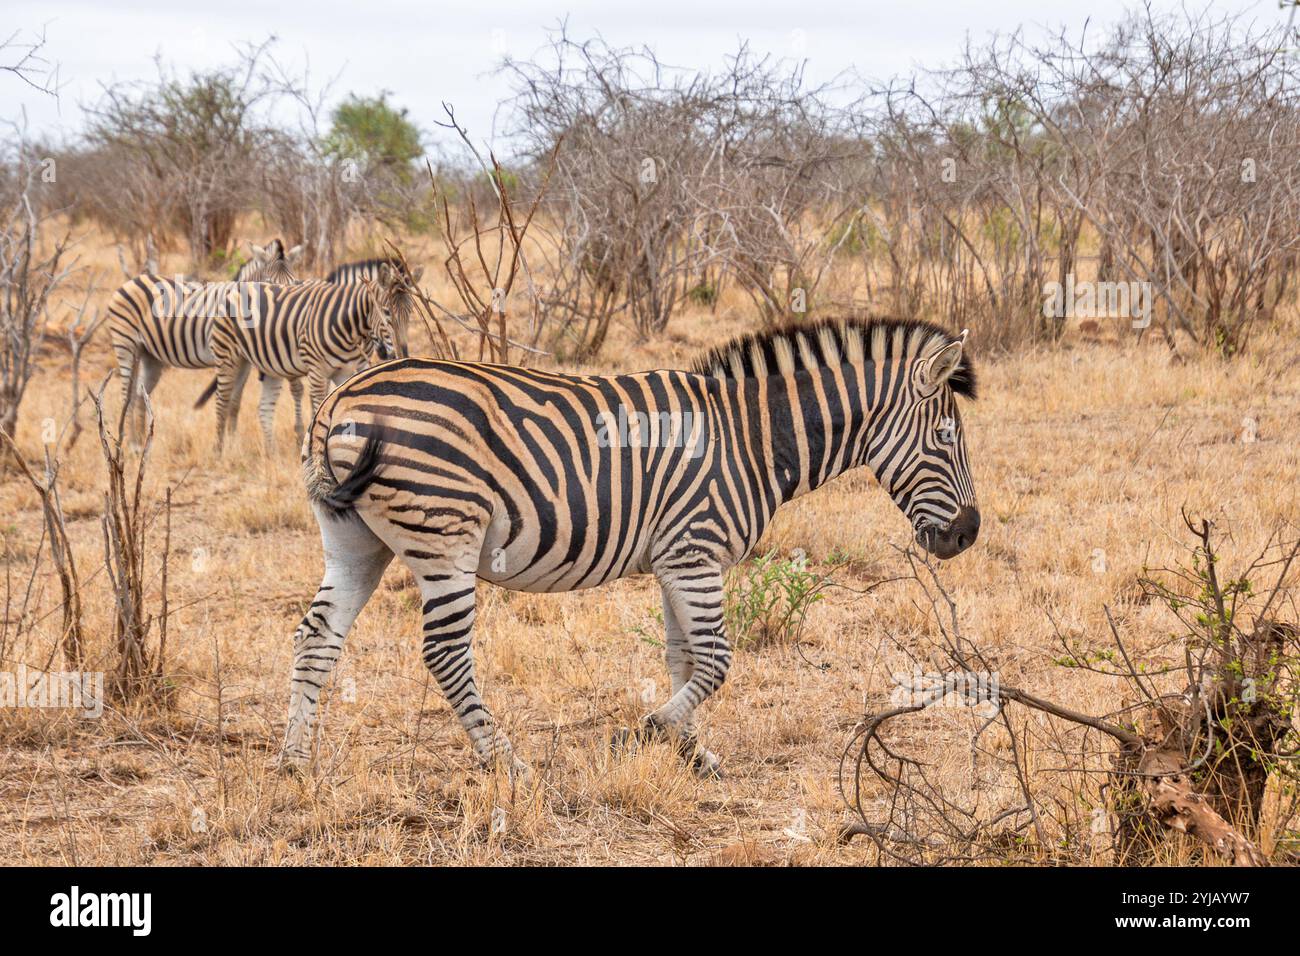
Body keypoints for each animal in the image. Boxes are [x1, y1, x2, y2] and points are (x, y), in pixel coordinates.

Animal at [106, 239, 302, 440]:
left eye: (295, 283)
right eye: (270, 283)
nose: (283, 320)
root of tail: (133, 280)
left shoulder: (245, 361)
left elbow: (235, 402)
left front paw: (233, 440)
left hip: (150, 355)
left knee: (139, 394)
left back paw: (139, 440)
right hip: (126, 344)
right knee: (127, 396)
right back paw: (131, 442)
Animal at [205, 278, 405, 453]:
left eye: (407, 314)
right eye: (387, 312)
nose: (400, 352)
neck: (347, 327)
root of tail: (238, 286)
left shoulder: (344, 371)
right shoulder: (317, 369)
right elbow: (319, 408)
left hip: (253, 363)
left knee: (258, 407)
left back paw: (266, 453)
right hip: (227, 355)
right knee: (222, 401)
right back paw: (219, 450)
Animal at [278, 316, 980, 778]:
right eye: (945, 438)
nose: (968, 535)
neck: (751, 438)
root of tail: (343, 395)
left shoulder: (679, 557)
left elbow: (684, 658)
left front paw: (691, 752)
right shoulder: (696, 549)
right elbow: (717, 660)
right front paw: (650, 731)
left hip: (355, 541)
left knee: (317, 635)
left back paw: (294, 759)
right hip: (445, 535)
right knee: (444, 652)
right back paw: (505, 760)